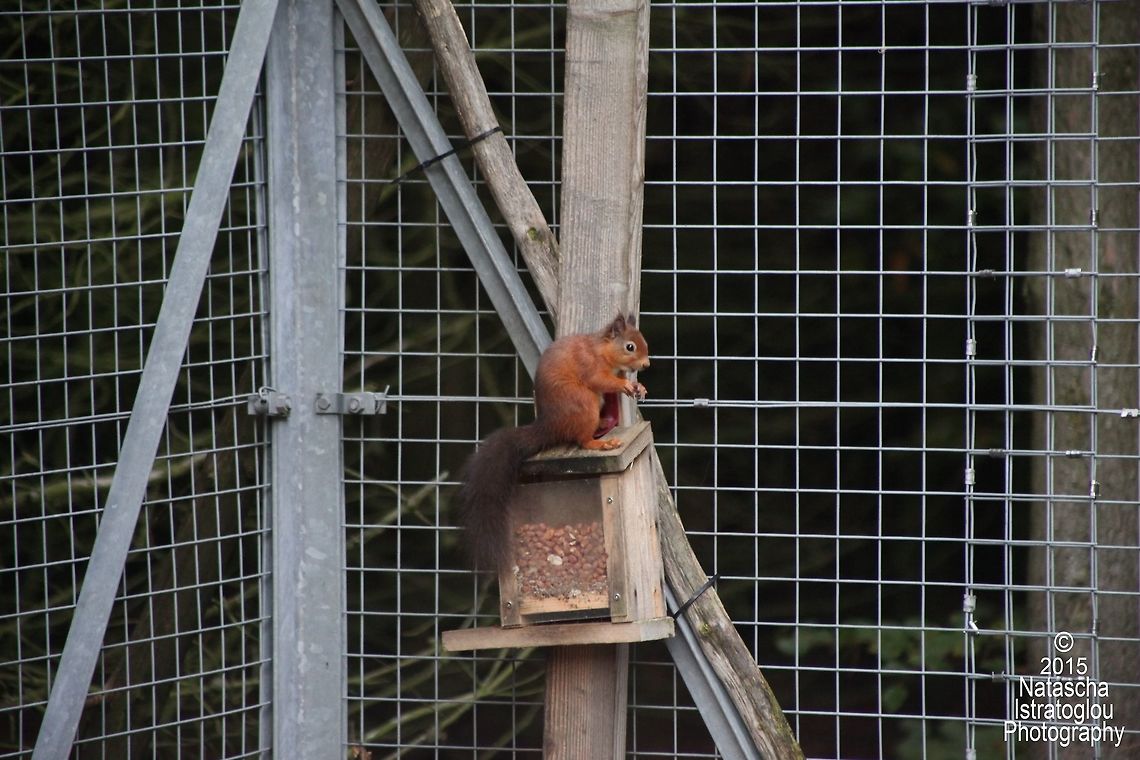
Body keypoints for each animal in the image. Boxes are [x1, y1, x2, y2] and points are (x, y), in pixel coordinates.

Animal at [456, 313, 650, 573]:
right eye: (630, 346)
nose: (646, 364)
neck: (601, 349)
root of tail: (549, 427)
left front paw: (639, 387)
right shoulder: (589, 365)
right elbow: (601, 380)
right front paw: (625, 385)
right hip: (584, 403)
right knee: (582, 439)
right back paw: (600, 443)